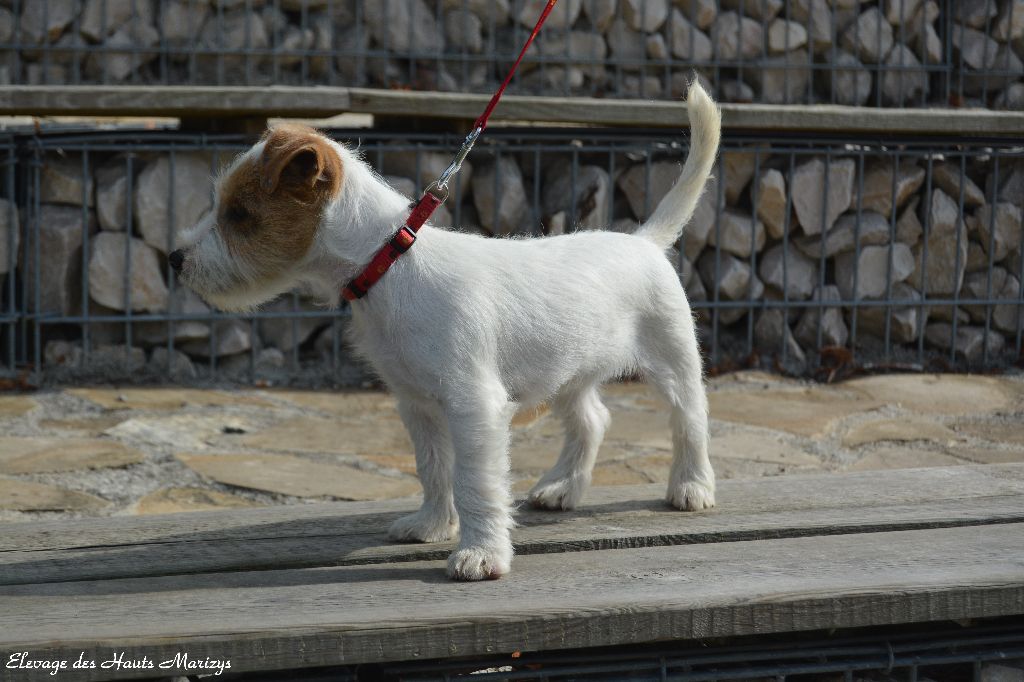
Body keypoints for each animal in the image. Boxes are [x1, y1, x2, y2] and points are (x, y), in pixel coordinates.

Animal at [169, 78, 720, 577]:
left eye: (240, 214)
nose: (175, 259)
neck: (389, 262)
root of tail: (644, 241)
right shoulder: (417, 404)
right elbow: (434, 469)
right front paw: (432, 525)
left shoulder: (473, 406)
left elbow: (476, 483)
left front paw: (481, 554)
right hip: (568, 371)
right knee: (591, 420)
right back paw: (563, 488)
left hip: (672, 360)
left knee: (689, 420)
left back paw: (691, 487)